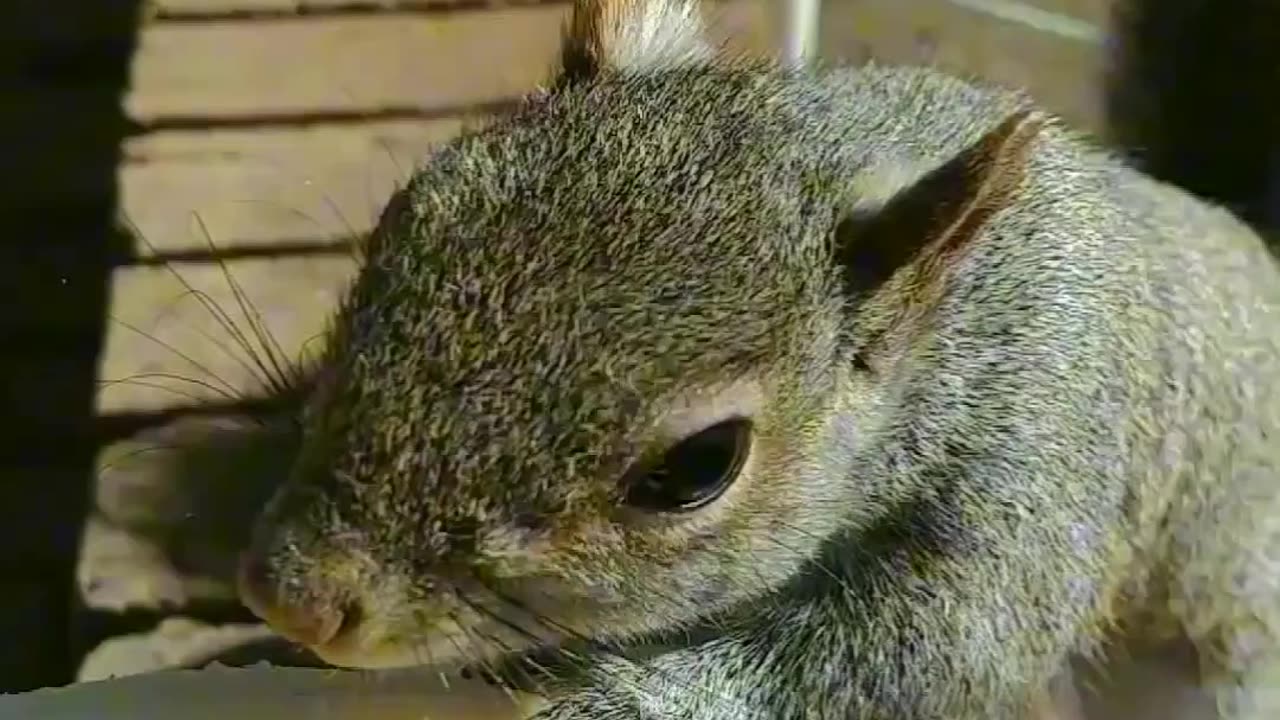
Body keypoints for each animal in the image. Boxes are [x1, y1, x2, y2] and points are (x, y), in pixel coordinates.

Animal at [232, 1, 1280, 717]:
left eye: (698, 467)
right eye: (389, 240)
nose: (298, 600)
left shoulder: (1040, 460)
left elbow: (924, 647)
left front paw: (611, 700)